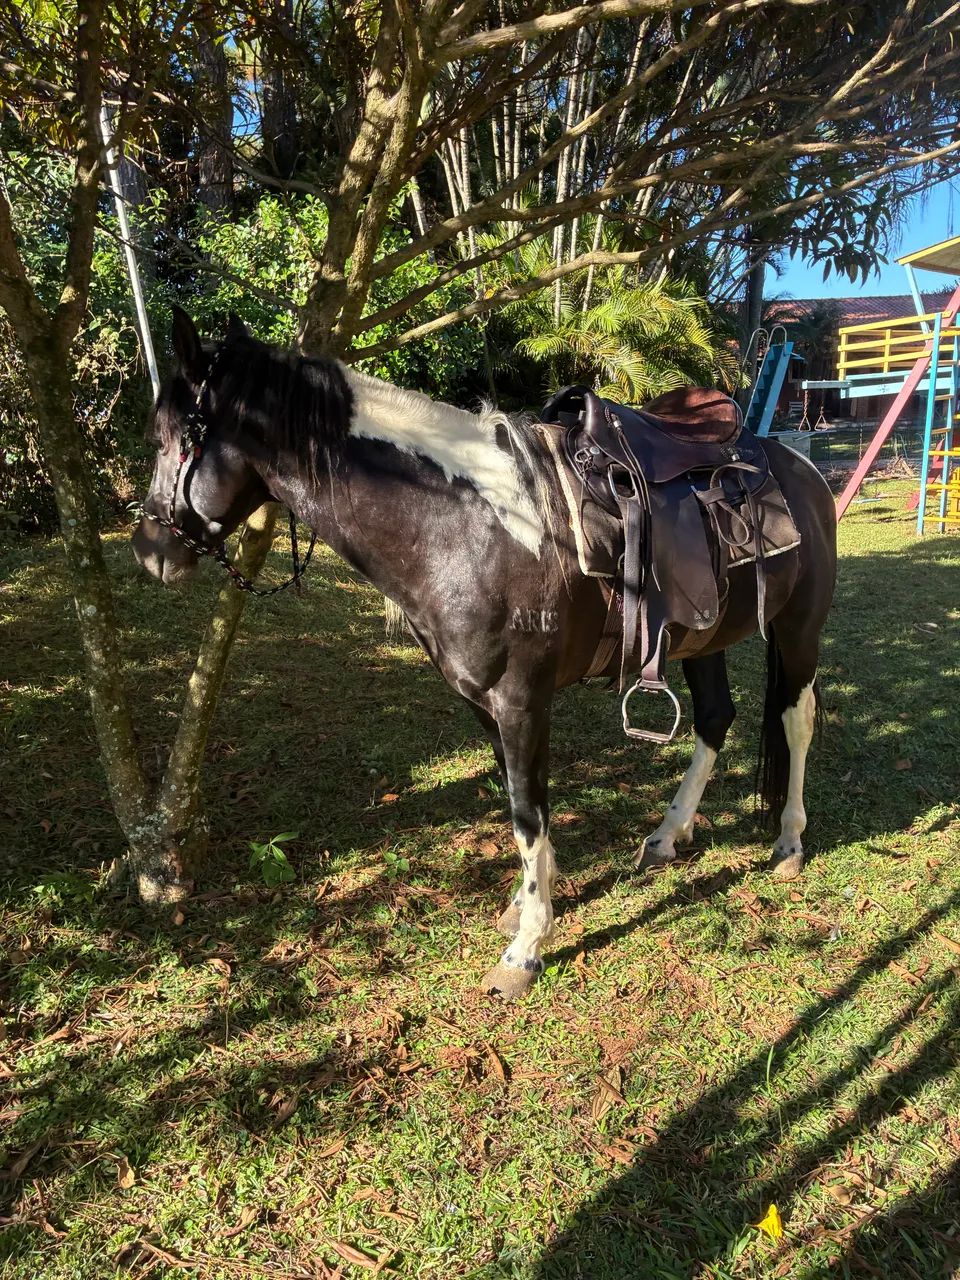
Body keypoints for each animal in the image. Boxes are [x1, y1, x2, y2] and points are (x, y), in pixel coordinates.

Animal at [133, 308, 837, 999]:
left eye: (173, 439)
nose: (149, 550)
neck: (469, 526)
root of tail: (798, 469)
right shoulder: (482, 703)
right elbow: (518, 804)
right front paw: (524, 905)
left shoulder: (522, 700)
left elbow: (528, 812)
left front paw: (526, 946)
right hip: (699, 632)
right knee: (715, 719)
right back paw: (667, 836)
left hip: (798, 629)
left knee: (797, 721)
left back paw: (789, 842)